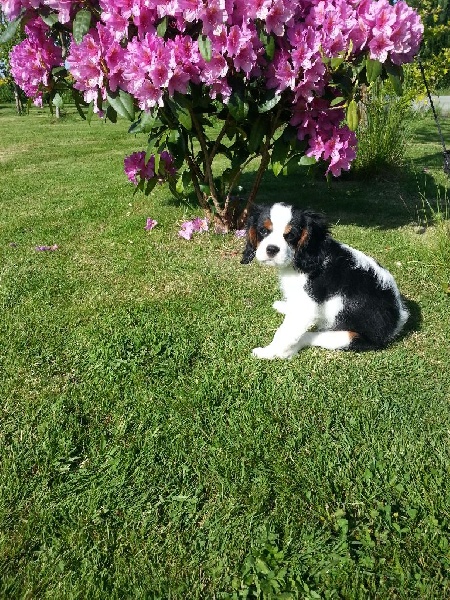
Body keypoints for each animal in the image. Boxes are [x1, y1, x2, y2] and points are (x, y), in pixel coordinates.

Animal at [241, 202, 410, 360]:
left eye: (291, 235)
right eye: (263, 231)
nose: (271, 249)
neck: (300, 259)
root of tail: (398, 322)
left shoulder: (306, 306)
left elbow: (284, 332)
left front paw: (269, 352)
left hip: (349, 336)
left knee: (307, 337)